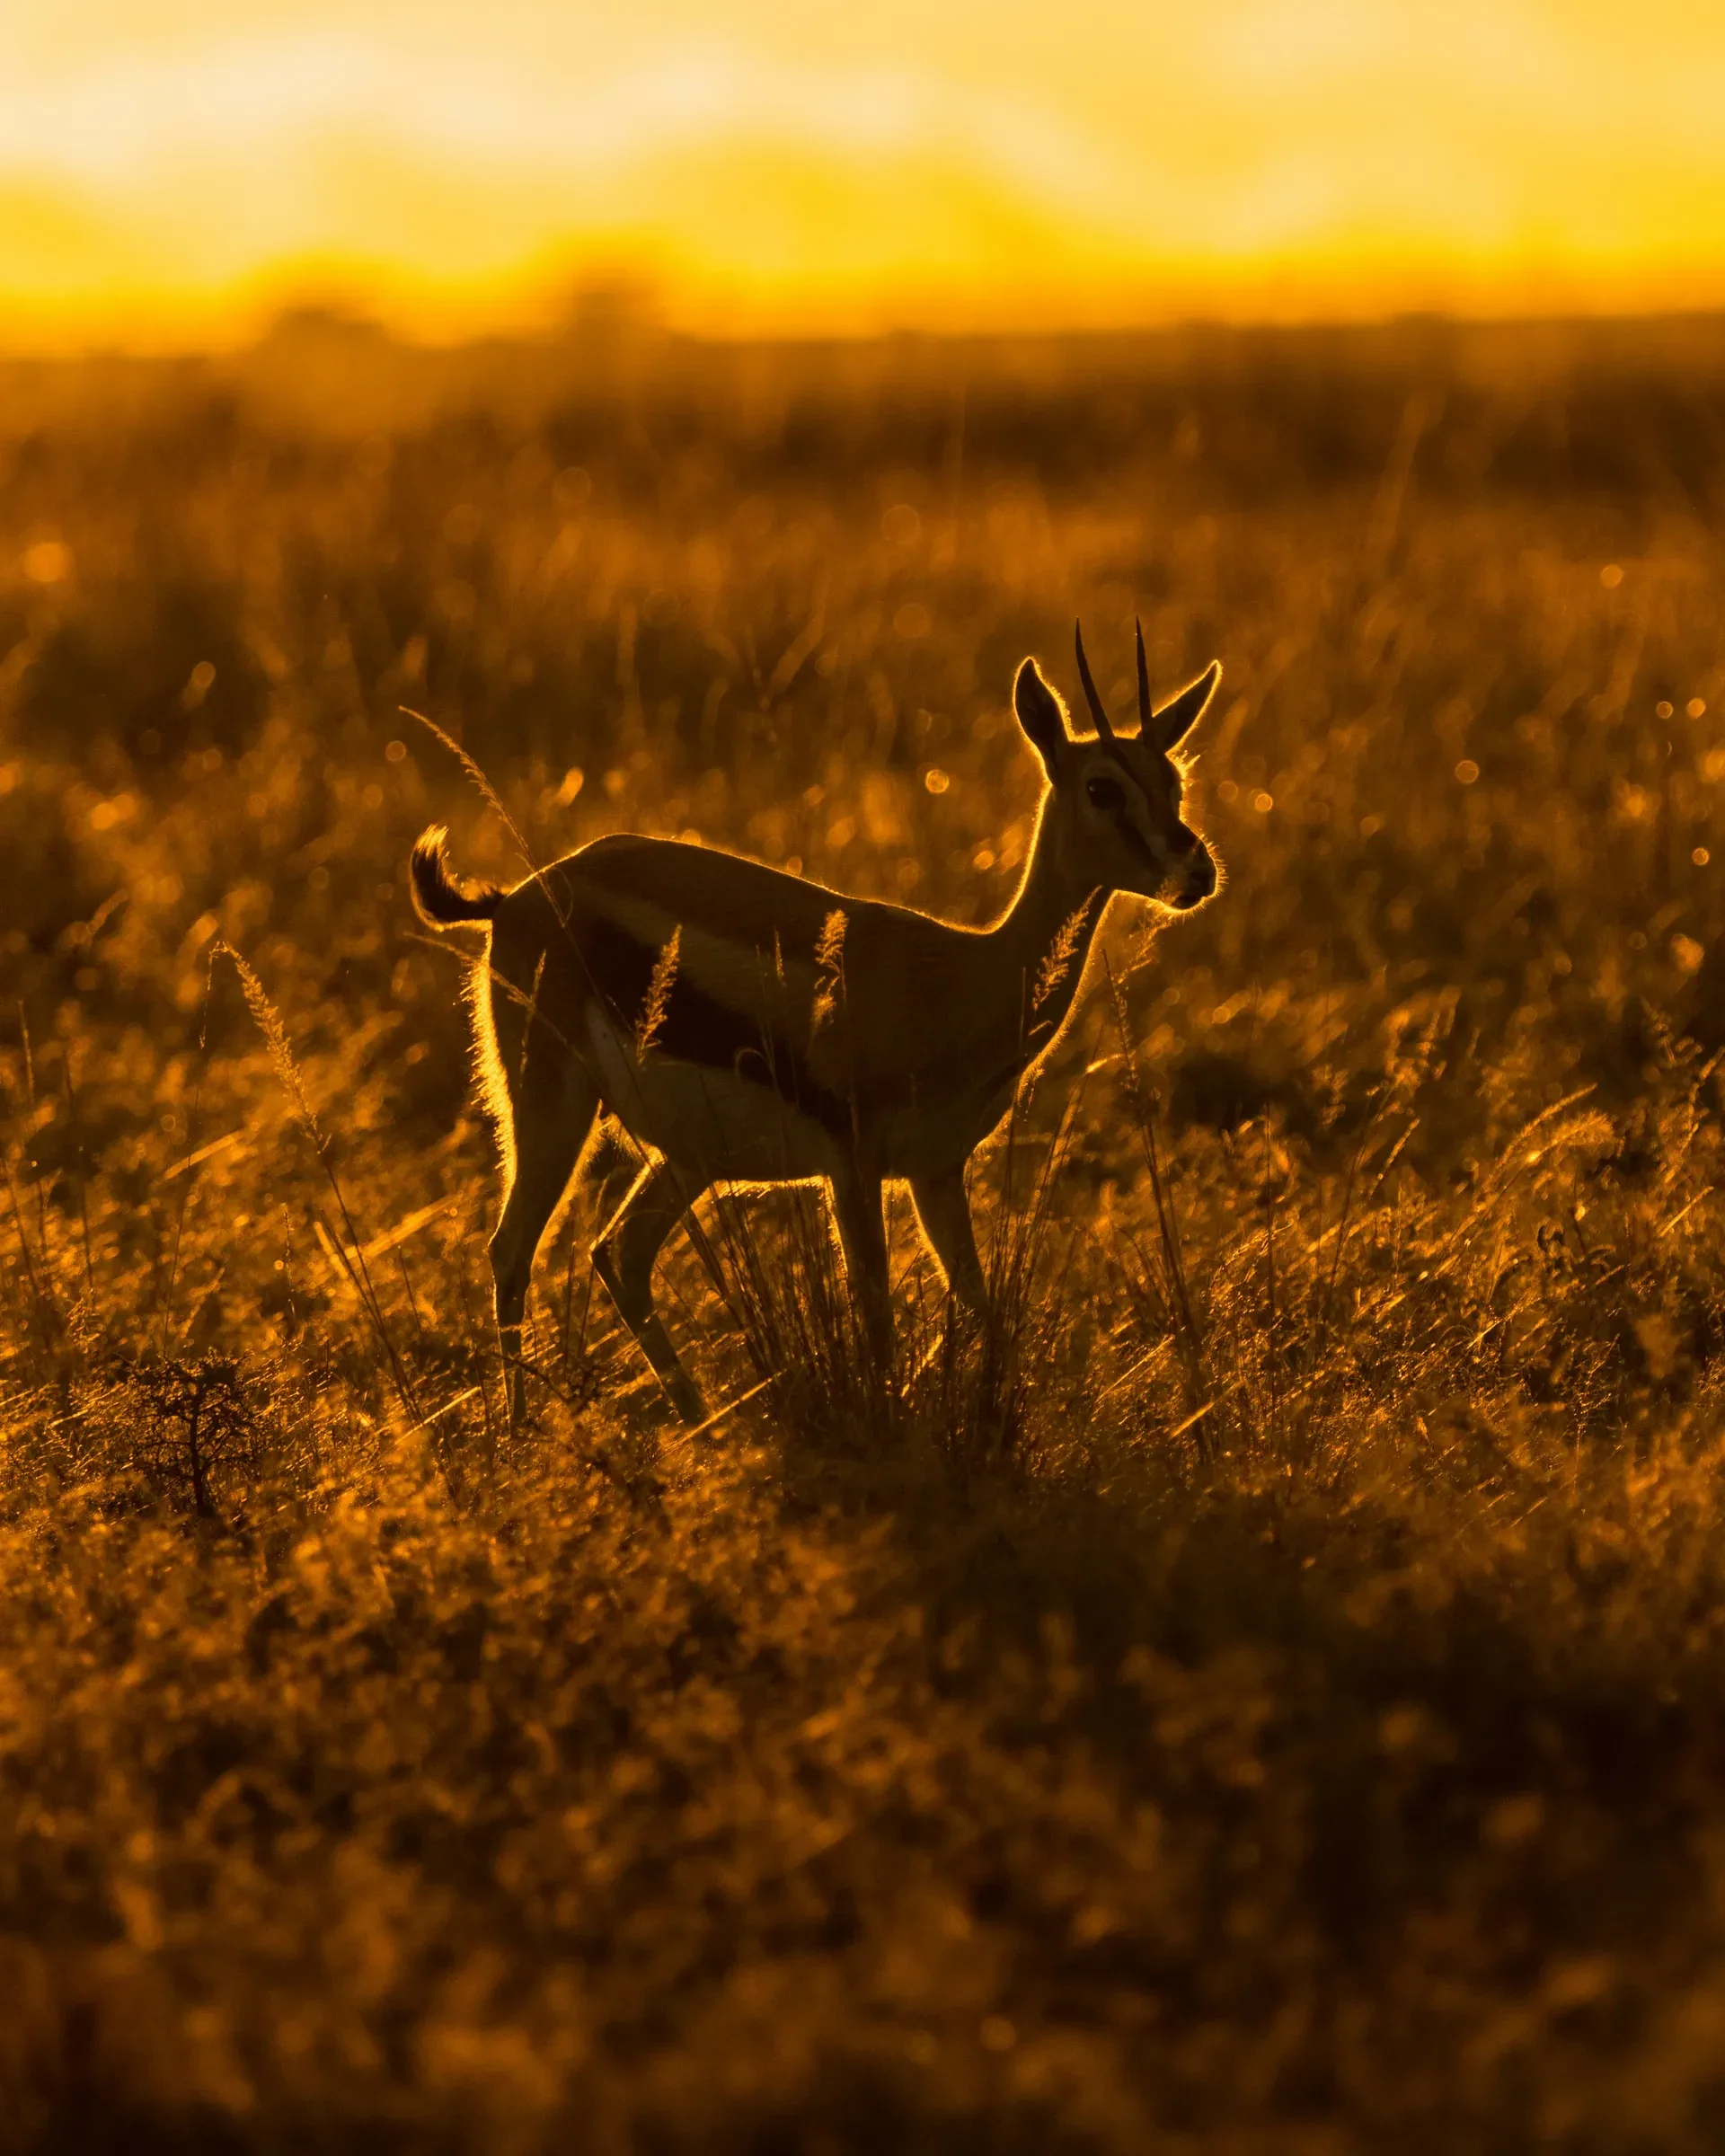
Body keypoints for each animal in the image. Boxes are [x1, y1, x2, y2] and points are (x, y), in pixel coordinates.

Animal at [410, 623, 1223, 1424]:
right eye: (1102, 787)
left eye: (1174, 782)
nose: (1197, 872)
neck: (963, 974)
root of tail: (519, 895)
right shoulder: (854, 1167)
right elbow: (879, 1324)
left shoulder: (935, 1171)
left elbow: (979, 1307)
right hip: (553, 1107)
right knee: (511, 1249)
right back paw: (522, 1434)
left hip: (689, 1157)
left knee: (618, 1254)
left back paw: (701, 1424)